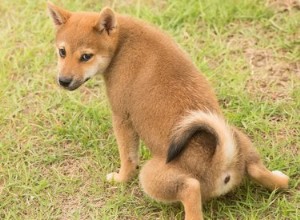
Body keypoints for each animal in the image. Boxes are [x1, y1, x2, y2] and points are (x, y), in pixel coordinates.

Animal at [48, 2, 290, 219]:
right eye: (62, 52)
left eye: (86, 56)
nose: (63, 81)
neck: (122, 43)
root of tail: (220, 163)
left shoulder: (122, 118)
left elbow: (128, 158)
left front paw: (120, 179)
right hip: (239, 140)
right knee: (269, 176)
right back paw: (278, 176)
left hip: (152, 176)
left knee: (190, 189)